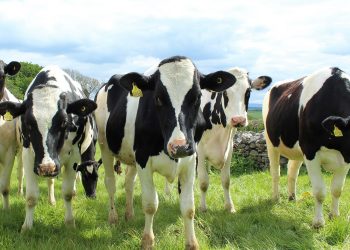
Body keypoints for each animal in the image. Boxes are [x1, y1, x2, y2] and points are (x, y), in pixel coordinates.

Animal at [0, 66, 97, 230]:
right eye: (28, 123)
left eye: (64, 122)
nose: (47, 168)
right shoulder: (29, 155)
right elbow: (31, 196)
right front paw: (26, 227)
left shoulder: (73, 156)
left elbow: (67, 193)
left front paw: (70, 223)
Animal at [95, 55, 238, 249]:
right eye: (158, 98)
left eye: (197, 97)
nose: (179, 146)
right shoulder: (143, 160)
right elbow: (150, 204)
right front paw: (147, 241)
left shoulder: (191, 160)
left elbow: (188, 207)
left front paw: (192, 243)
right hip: (105, 146)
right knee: (110, 183)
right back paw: (113, 217)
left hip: (131, 157)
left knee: (129, 183)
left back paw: (129, 214)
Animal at [196, 67, 272, 212]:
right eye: (225, 92)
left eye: (248, 91)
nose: (238, 120)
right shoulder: (200, 150)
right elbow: (203, 182)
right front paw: (202, 208)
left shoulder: (229, 148)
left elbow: (226, 180)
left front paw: (229, 207)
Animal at [262, 67, 350, 229]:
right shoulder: (310, 151)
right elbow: (319, 191)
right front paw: (318, 222)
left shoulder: (346, 156)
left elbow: (337, 189)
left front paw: (334, 216)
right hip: (271, 142)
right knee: (276, 172)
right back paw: (276, 198)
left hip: (297, 149)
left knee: (292, 171)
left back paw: (292, 197)